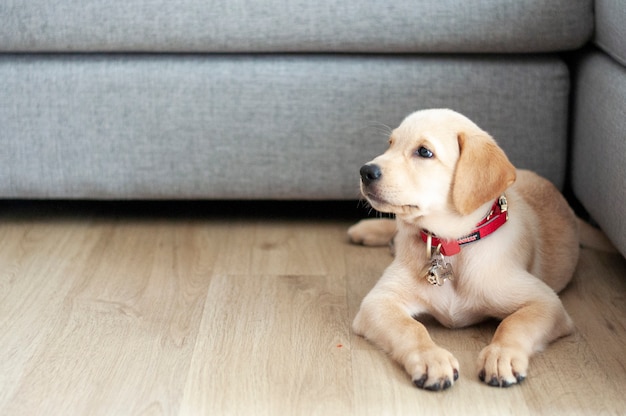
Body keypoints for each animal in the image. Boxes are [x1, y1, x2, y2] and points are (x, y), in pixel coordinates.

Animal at [348, 108, 576, 390]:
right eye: (390, 144)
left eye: (424, 152)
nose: (365, 171)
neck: (450, 244)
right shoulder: (379, 302)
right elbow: (410, 328)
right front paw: (431, 359)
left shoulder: (546, 302)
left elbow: (515, 324)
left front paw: (501, 355)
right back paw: (366, 230)